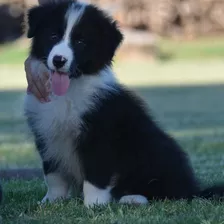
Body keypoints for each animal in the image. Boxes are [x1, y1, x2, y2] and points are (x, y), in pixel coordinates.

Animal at [23, 0, 223, 207]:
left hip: (154, 148)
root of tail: (195, 190)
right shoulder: (47, 134)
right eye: (53, 36)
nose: (59, 60)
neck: (70, 89)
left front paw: (94, 204)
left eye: (81, 42)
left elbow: (95, 174)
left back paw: (132, 197)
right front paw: (52, 201)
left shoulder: (99, 135)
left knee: (171, 193)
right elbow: (53, 175)